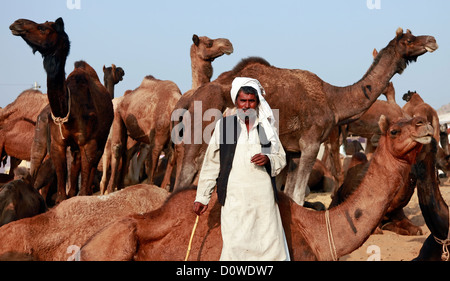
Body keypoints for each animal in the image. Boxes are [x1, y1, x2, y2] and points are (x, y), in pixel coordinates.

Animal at [10, 17, 114, 201]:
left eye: (42, 28)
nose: (18, 23)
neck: (66, 111)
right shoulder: (58, 143)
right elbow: (61, 190)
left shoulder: (89, 143)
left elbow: (84, 185)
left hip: (101, 139)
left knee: (92, 163)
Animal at [174, 27, 438, 206]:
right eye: (409, 39)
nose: (432, 40)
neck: (333, 100)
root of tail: (190, 98)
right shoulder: (311, 143)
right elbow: (299, 196)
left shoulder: (294, 151)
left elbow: (289, 196)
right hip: (199, 138)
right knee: (184, 180)